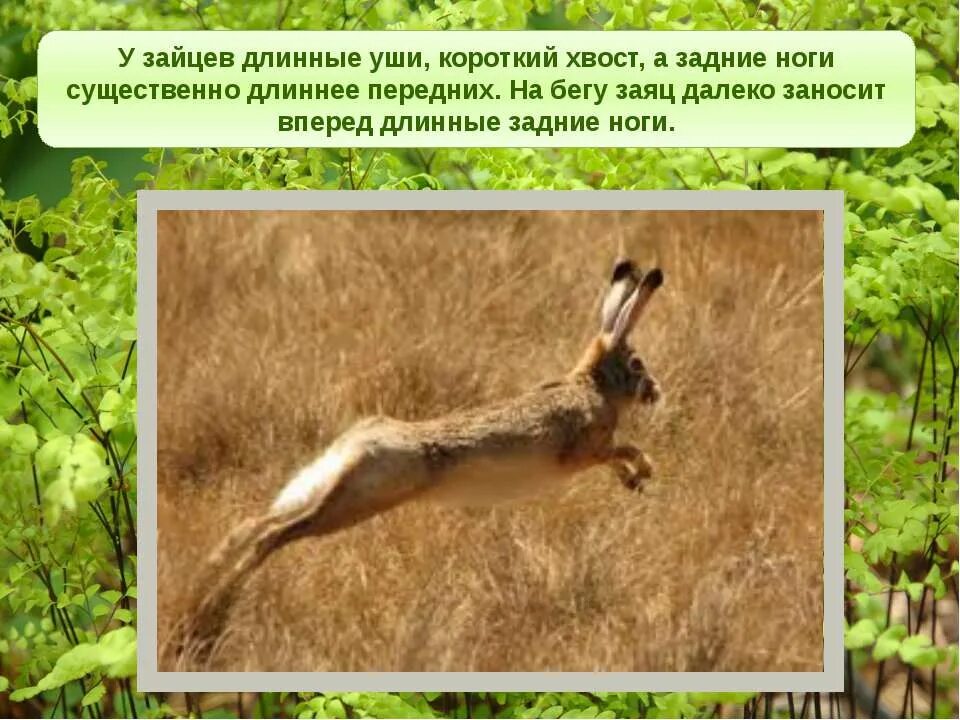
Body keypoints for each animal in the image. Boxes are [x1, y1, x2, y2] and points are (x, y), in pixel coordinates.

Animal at [174, 258, 664, 667]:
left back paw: (200, 600)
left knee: (255, 524)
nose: (656, 391)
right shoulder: (585, 450)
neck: (592, 384)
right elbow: (624, 449)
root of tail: (361, 441)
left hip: (328, 487)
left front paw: (635, 483)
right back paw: (208, 618)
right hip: (360, 498)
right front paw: (645, 472)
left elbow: (619, 459)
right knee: (275, 534)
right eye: (637, 364)